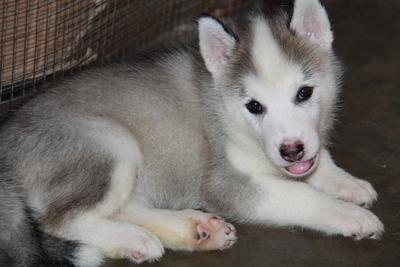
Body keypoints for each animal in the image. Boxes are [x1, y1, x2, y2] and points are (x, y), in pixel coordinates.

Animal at [0, 0, 384, 266]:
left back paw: (195, 229)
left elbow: (320, 163)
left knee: (123, 206)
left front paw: (346, 183)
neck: (225, 111)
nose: (292, 150)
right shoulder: (229, 185)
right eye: (254, 106)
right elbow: (302, 196)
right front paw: (350, 215)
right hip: (111, 143)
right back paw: (133, 238)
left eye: (304, 93)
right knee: (61, 220)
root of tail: (8, 133)